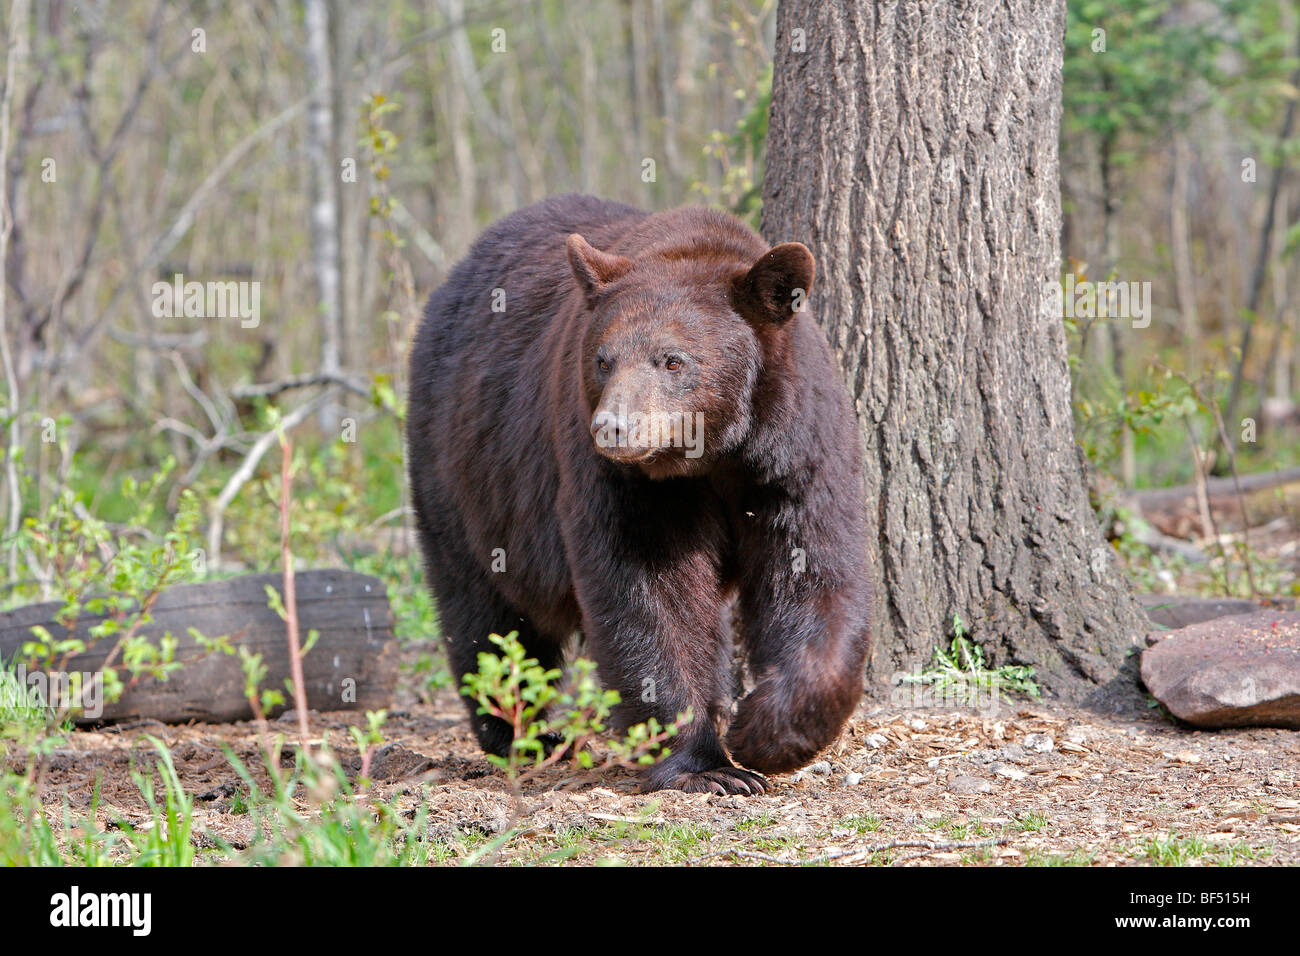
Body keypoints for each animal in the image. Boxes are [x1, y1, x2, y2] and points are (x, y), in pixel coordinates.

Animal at [405, 192, 873, 790]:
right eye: (602, 359)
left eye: (673, 359)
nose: (613, 427)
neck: (714, 455)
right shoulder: (629, 486)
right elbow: (648, 590)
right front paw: (708, 766)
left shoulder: (793, 455)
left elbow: (814, 569)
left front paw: (766, 733)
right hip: (466, 475)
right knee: (488, 614)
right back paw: (524, 734)